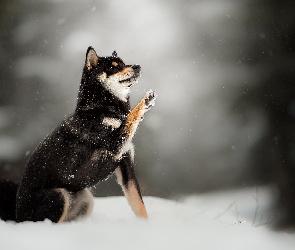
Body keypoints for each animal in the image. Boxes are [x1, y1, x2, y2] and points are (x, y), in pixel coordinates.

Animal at [0, 47, 157, 223]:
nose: (137, 66)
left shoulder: (126, 166)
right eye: (113, 67)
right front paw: (144, 102)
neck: (102, 109)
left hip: (85, 199)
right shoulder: (114, 144)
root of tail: (16, 214)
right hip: (59, 196)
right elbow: (131, 117)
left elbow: (139, 205)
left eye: (124, 63)